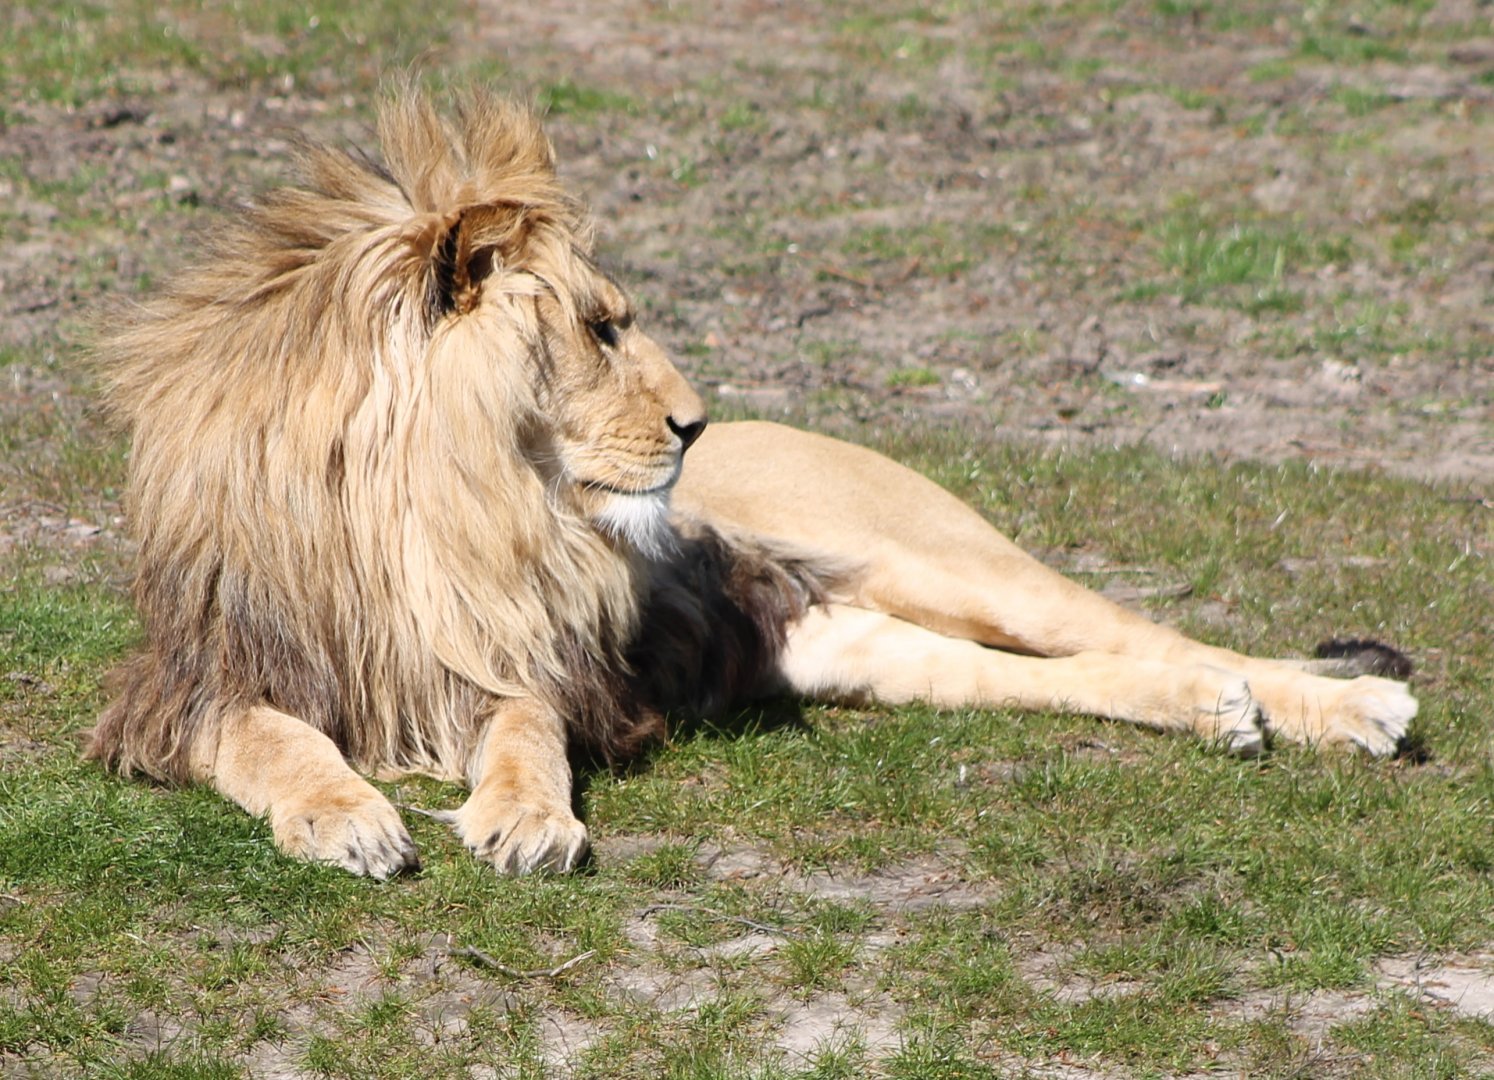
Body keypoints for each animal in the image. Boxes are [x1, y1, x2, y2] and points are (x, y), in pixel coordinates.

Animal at [88, 86, 1417, 878]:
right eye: (601, 329)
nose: (696, 423)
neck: (443, 502)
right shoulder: (194, 683)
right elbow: (275, 742)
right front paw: (346, 814)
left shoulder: (522, 664)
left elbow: (525, 735)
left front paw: (530, 819)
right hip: (856, 647)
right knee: (1075, 674)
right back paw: (1223, 716)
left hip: (949, 560)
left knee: (1159, 634)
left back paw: (1351, 706)